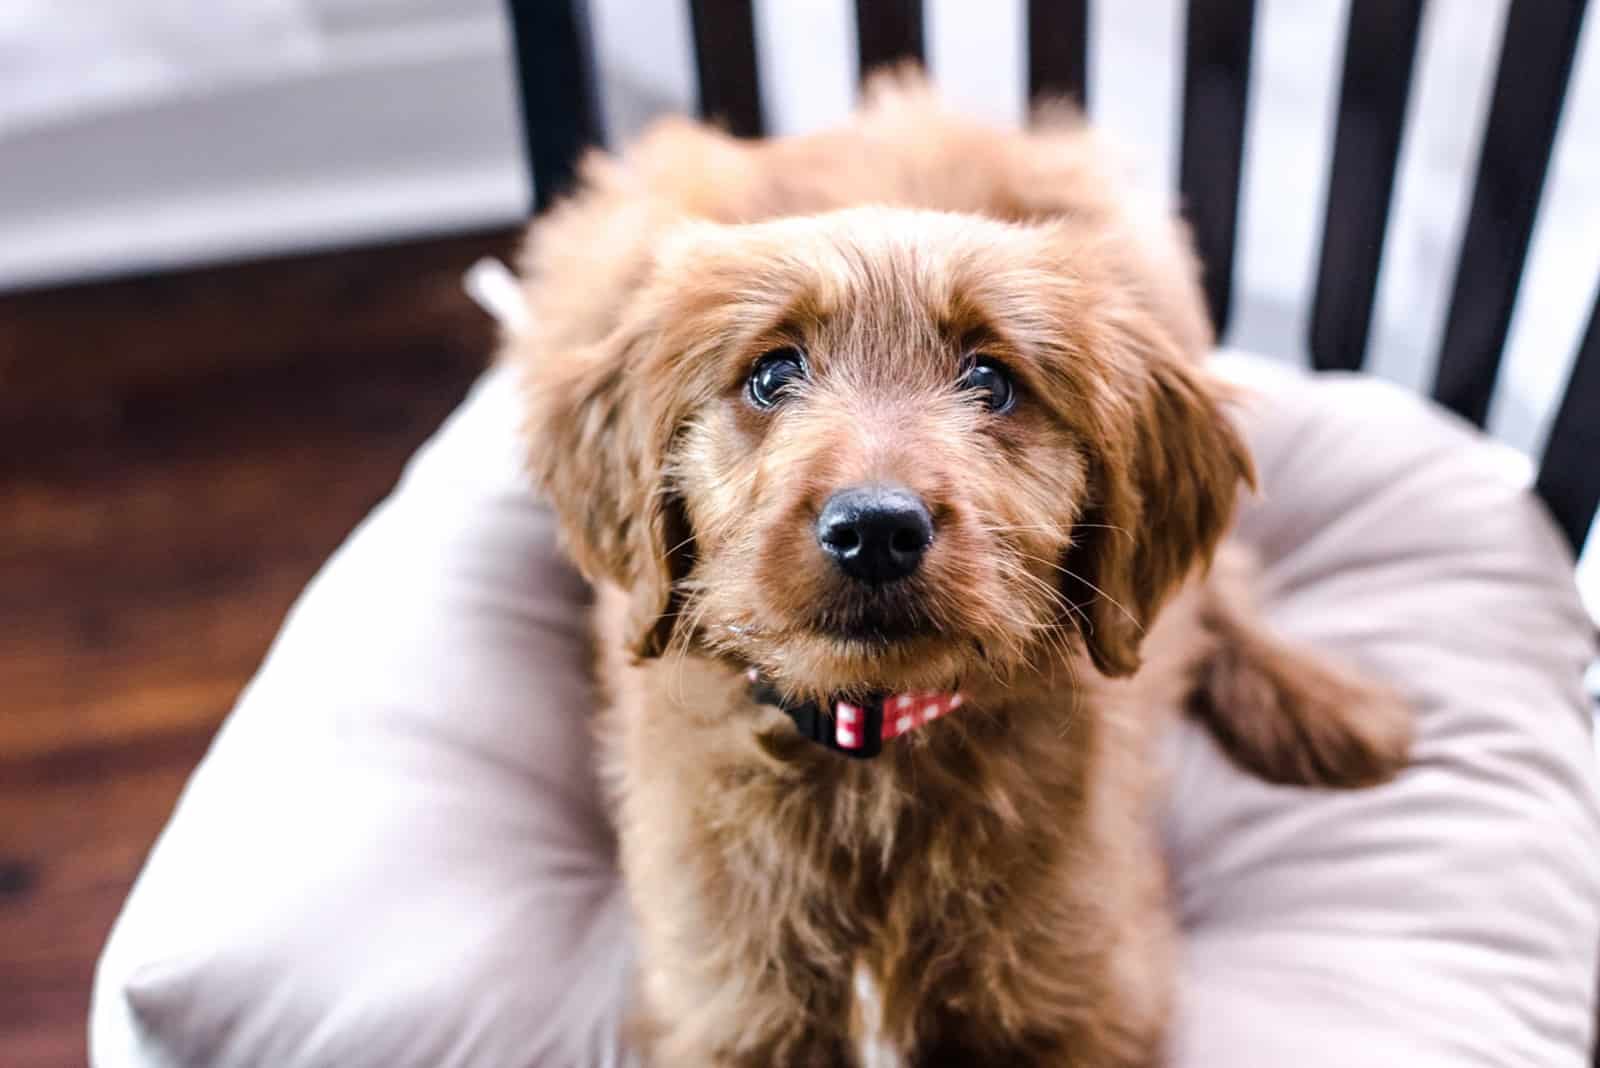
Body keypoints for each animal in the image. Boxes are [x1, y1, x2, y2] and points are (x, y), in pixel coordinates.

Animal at [505, 75, 1408, 1068]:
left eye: (992, 380)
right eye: (772, 375)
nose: (875, 530)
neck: (875, 753)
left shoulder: (1087, 995)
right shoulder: (722, 1011)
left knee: (1221, 585)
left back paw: (1323, 705)